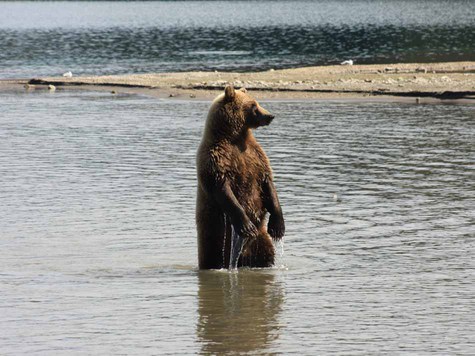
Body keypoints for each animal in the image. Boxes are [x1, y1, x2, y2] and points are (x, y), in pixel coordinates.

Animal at [195, 87, 284, 270]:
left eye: (257, 102)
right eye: (253, 106)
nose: (270, 116)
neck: (234, 136)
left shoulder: (255, 156)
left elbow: (267, 182)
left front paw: (278, 226)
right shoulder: (215, 159)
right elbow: (224, 189)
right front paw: (246, 226)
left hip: (261, 242)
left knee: (266, 254)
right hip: (214, 237)